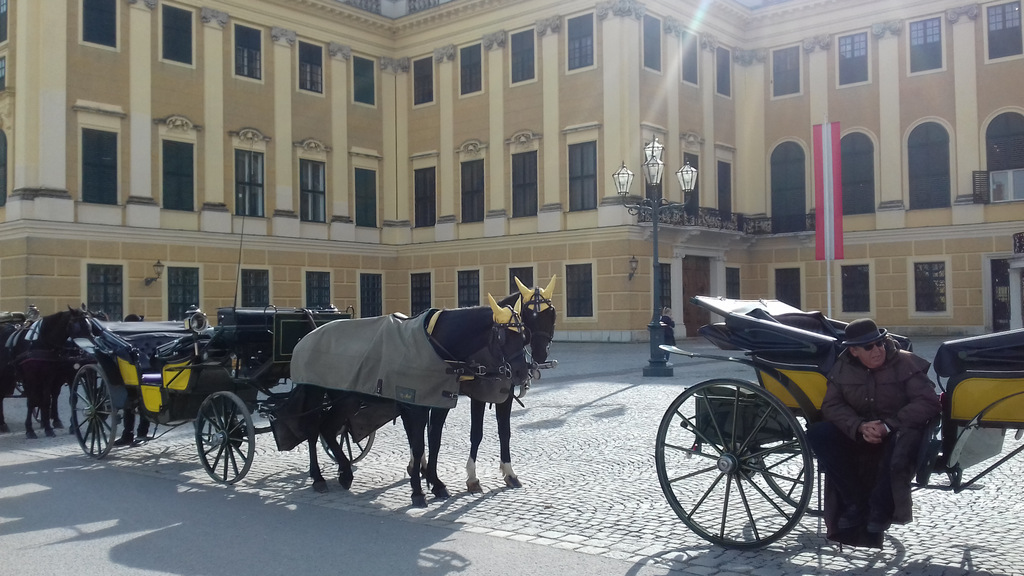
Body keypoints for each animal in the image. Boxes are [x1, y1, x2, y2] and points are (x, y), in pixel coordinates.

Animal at [0, 305, 91, 434]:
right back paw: (3, 424)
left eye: (90, 326)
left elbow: (48, 399)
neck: (41, 342)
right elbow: (32, 400)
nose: (90, 350)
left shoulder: (51, 375)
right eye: (78, 327)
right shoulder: (31, 376)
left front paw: (48, 428)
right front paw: (30, 430)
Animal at [284, 293, 532, 504]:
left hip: (346, 398)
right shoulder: (415, 404)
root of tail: (307, 337)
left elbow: (434, 441)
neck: (434, 344)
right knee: (312, 429)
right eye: (502, 336)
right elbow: (418, 444)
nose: (522, 372)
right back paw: (318, 477)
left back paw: (345, 472)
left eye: (523, 335)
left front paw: (435, 482)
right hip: (315, 392)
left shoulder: (439, 403)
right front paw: (418, 490)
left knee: (328, 428)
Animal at [466, 276, 557, 491]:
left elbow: (504, 431)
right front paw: (472, 476)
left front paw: (509, 472)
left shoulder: (506, 396)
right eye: (529, 316)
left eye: (552, 315)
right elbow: (476, 433)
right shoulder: (478, 396)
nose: (540, 353)